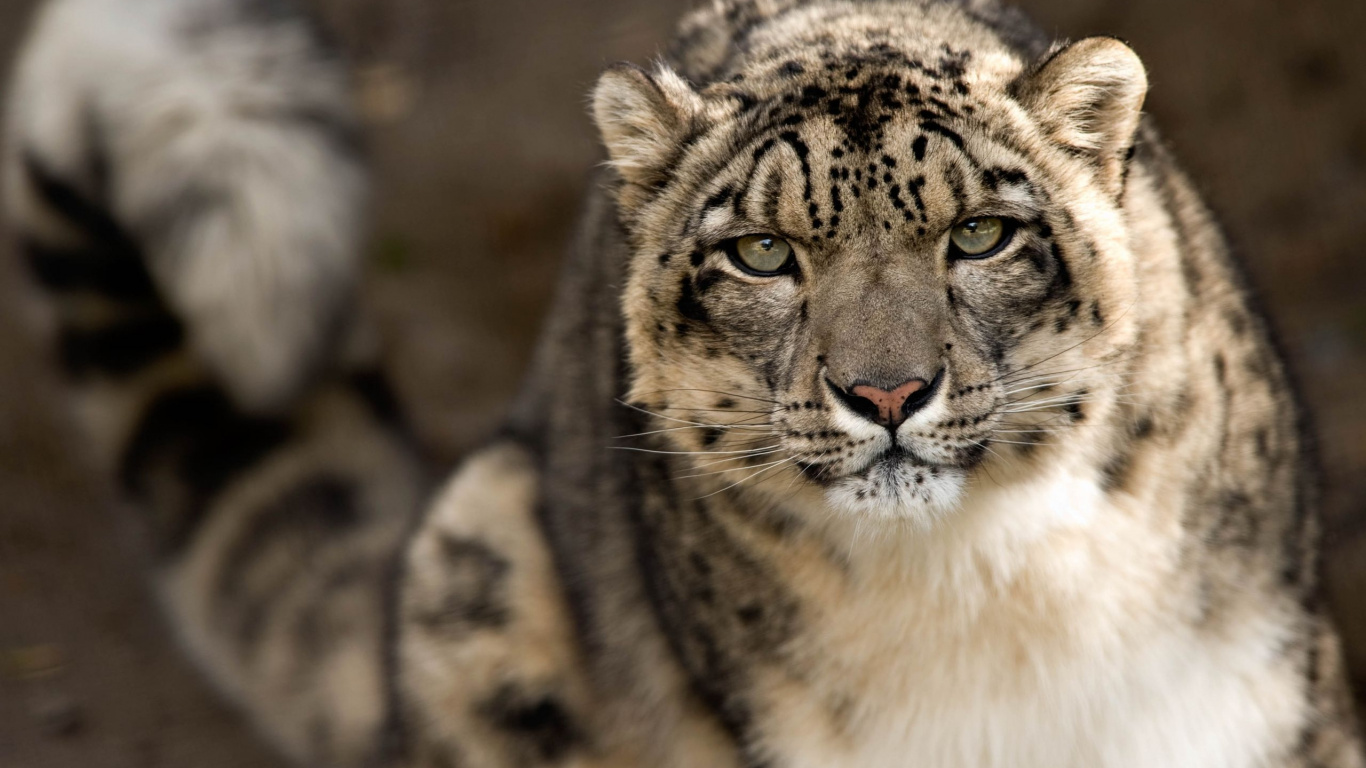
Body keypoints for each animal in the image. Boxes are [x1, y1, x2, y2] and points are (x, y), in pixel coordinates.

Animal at [6, 0, 1362, 766]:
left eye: (979, 234)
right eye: (760, 252)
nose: (885, 394)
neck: (995, 593)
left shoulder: (1265, 704)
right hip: (475, 568)